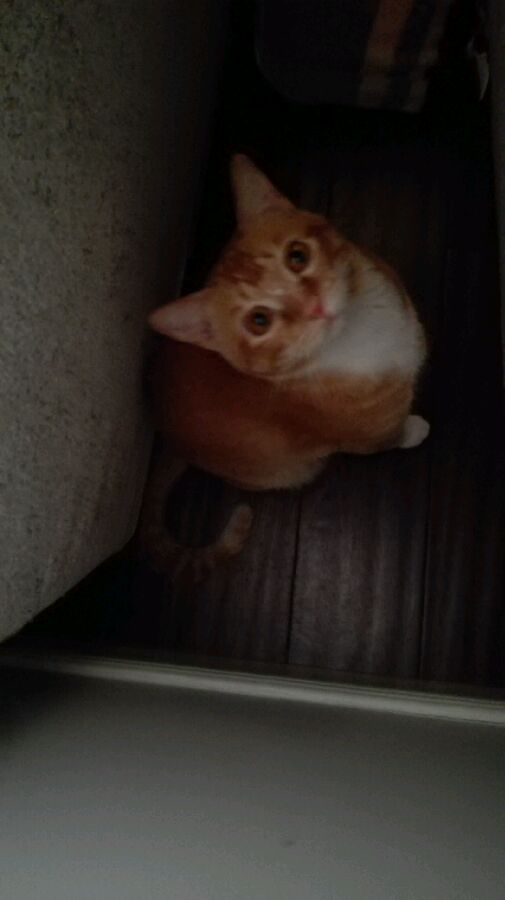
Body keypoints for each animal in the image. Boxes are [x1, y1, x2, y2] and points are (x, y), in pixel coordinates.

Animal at [140, 154, 428, 580]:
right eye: (258, 321)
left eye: (298, 255)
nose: (313, 305)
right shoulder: (367, 433)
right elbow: (390, 436)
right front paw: (413, 429)